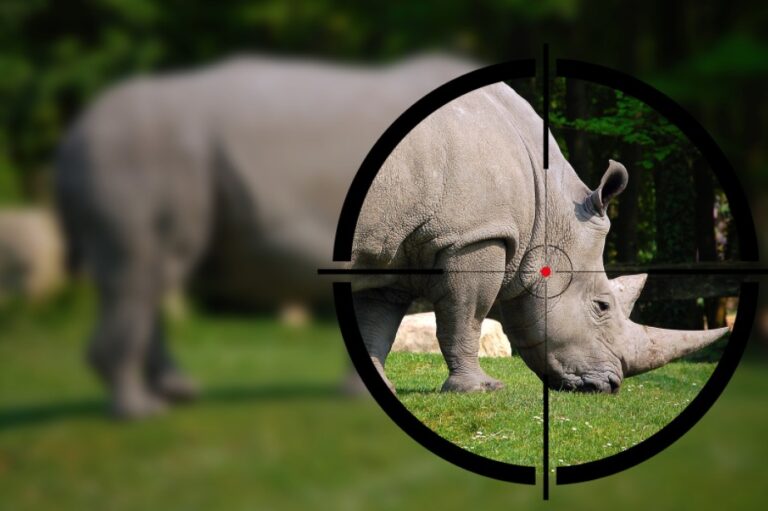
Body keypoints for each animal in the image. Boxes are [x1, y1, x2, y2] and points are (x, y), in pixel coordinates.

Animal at [54, 54, 478, 418]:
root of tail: (72, 138)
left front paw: (356, 394)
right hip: (136, 154)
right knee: (143, 274)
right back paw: (141, 412)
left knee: (148, 277)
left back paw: (175, 394)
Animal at [351, 82, 729, 394]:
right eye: (602, 306)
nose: (610, 386)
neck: (548, 206)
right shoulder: (475, 236)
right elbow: (465, 317)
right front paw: (481, 389)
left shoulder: (391, 246)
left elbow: (376, 324)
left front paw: (376, 386)